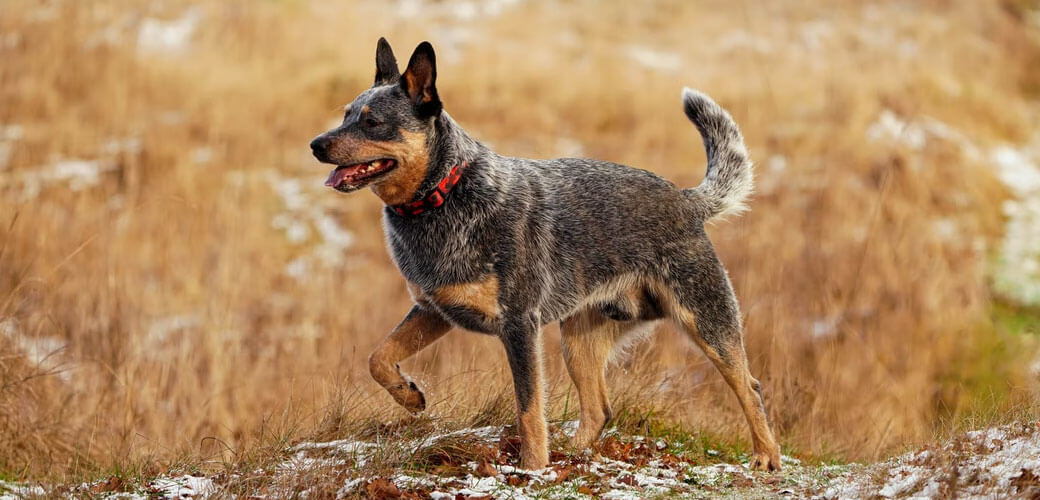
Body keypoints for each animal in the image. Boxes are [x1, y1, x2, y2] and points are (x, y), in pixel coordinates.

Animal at [307, 36, 782, 469]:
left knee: (750, 386)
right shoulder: (435, 310)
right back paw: (572, 455)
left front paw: (532, 469)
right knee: (599, 408)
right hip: (579, 339)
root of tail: (686, 200)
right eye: (346, 115)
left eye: (372, 122)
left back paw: (766, 457)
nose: (316, 144)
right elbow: (379, 357)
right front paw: (410, 397)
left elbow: (529, 409)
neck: (445, 195)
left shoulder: (519, 325)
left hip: (706, 320)